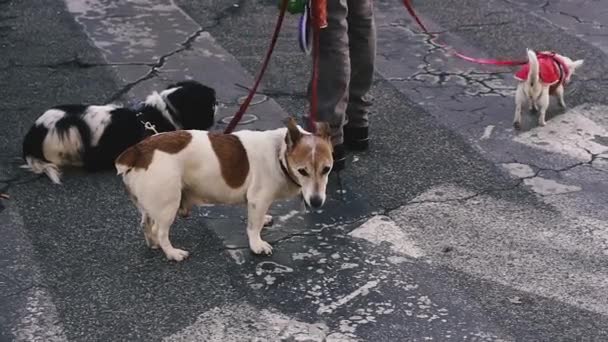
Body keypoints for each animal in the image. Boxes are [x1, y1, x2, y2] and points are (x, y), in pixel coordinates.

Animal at [114, 118, 332, 262]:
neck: (279, 153)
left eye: (327, 169)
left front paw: (265, 219)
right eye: (302, 171)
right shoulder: (258, 199)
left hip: (150, 204)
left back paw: (153, 244)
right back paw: (172, 253)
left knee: (147, 224)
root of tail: (139, 151)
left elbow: (259, 219)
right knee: (161, 231)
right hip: (169, 203)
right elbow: (253, 227)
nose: (316, 202)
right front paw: (257, 245)